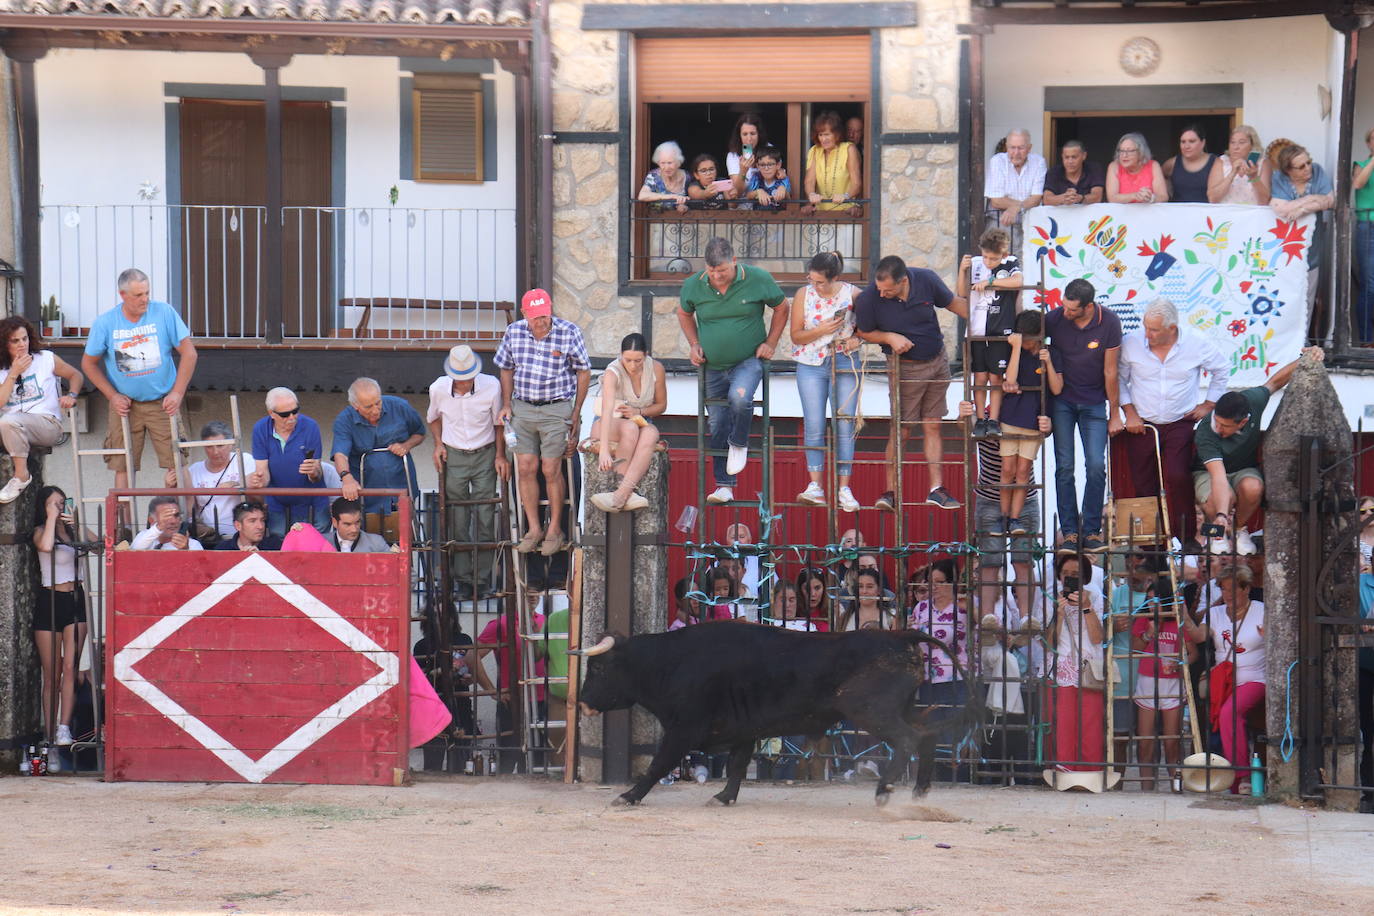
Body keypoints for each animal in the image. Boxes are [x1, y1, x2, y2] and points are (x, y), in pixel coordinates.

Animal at [574, 623, 983, 807]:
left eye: (598, 669)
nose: (582, 701)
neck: (667, 662)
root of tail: (899, 635)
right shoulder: (744, 730)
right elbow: (738, 765)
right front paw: (724, 797)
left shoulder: (683, 728)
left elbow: (659, 764)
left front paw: (628, 795)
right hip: (903, 708)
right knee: (927, 734)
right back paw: (919, 791)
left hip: (871, 711)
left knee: (908, 739)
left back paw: (885, 790)